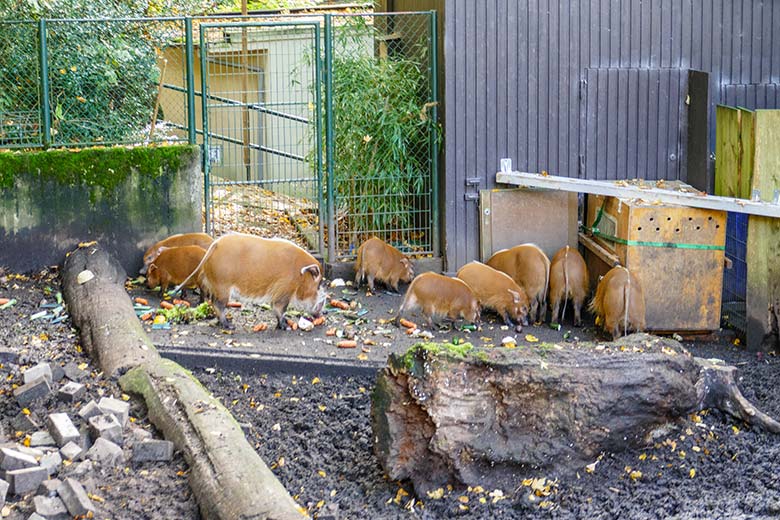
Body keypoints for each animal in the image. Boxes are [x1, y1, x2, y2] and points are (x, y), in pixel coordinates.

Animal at [174, 235, 326, 330]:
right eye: (318, 284)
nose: (322, 314)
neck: (299, 276)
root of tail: (215, 244)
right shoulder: (283, 292)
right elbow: (280, 309)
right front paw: (285, 326)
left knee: (212, 302)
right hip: (223, 286)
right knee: (218, 305)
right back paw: (229, 325)